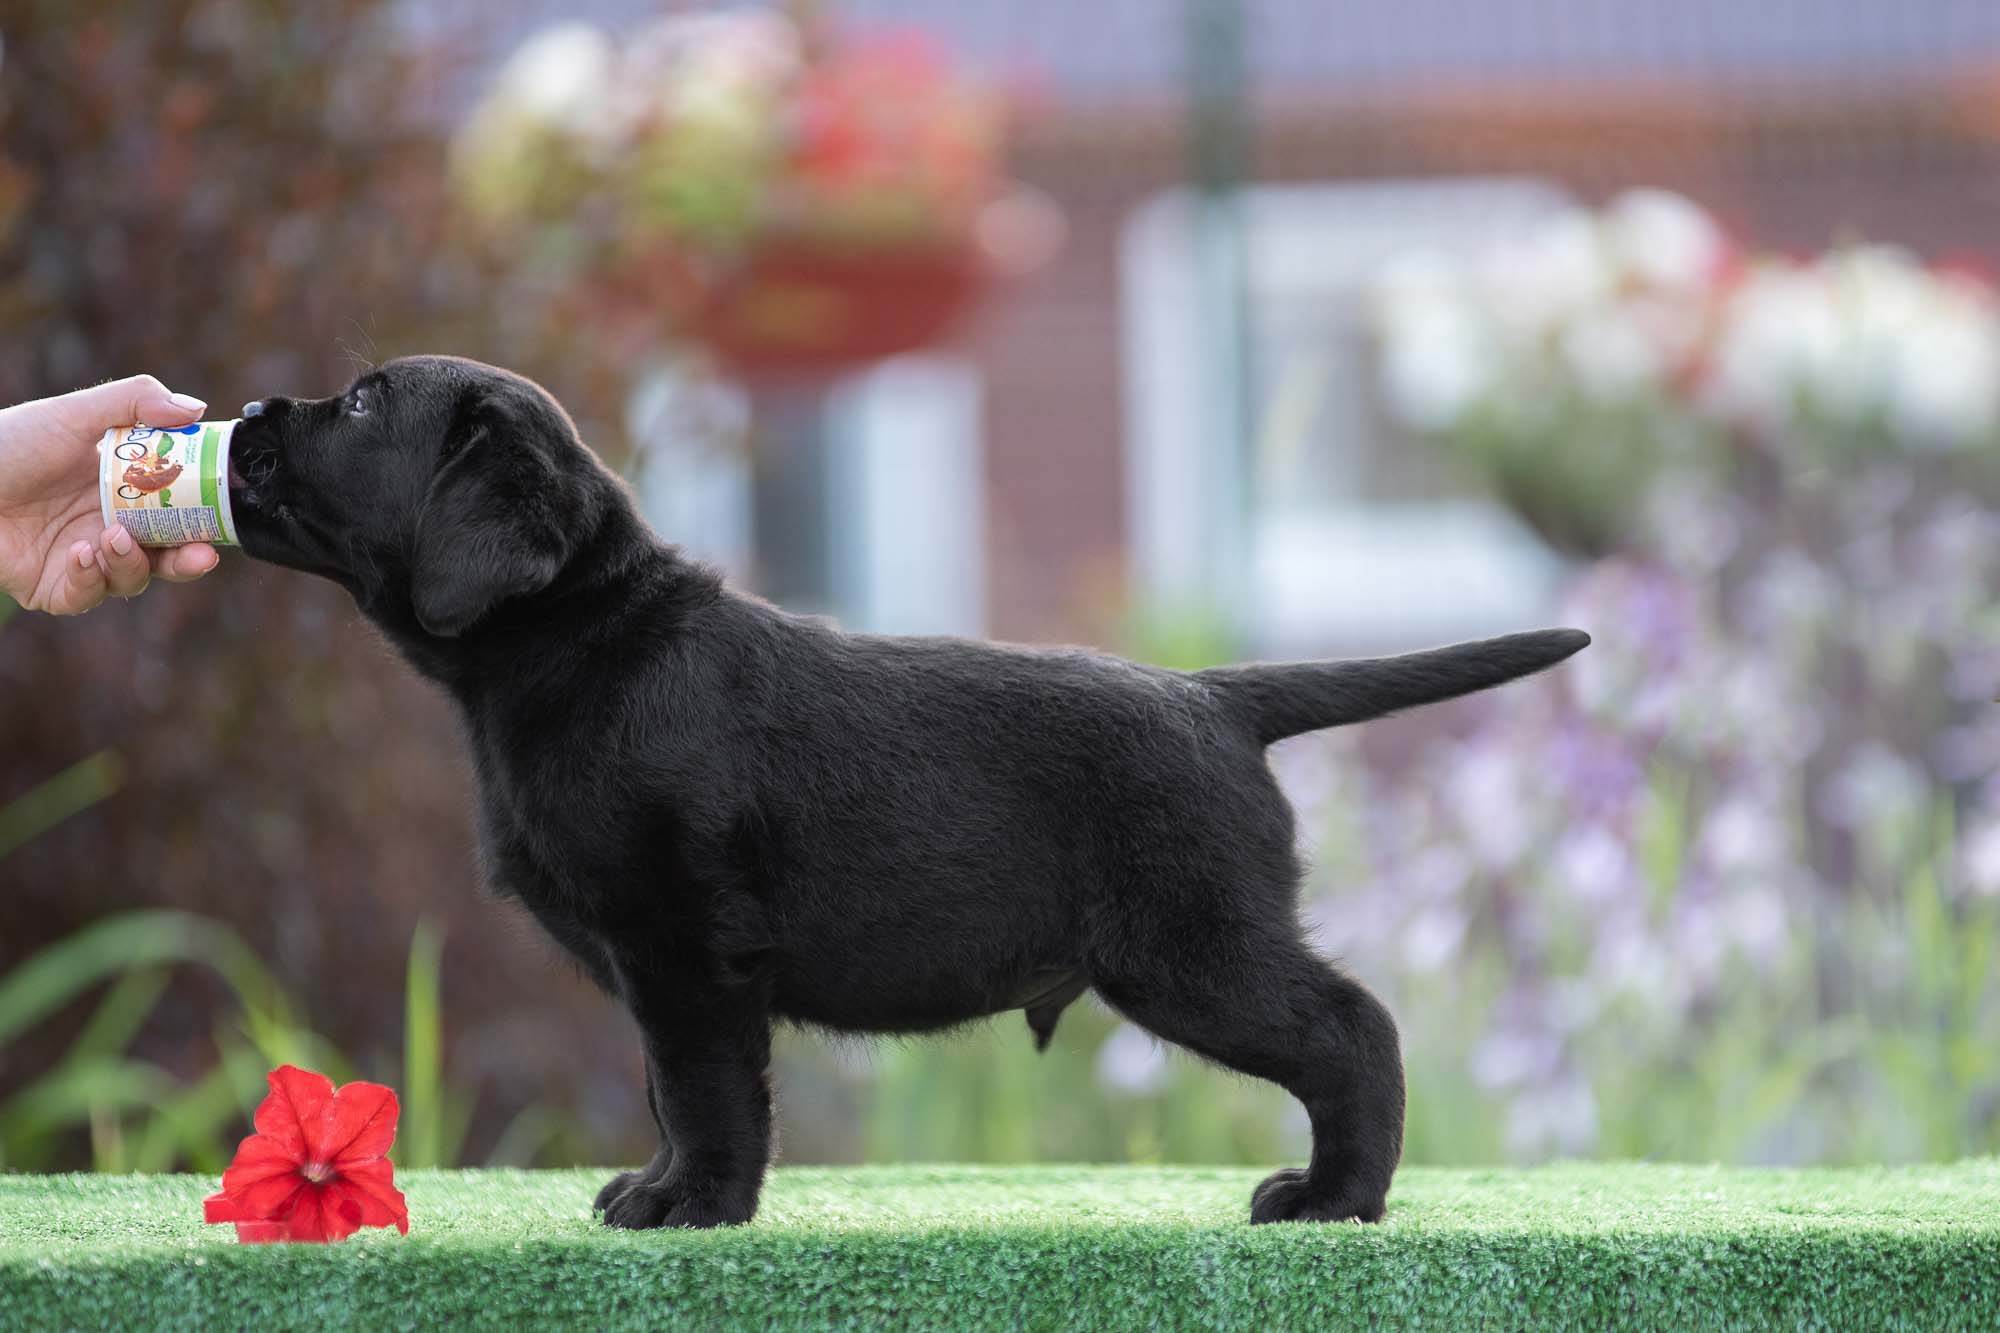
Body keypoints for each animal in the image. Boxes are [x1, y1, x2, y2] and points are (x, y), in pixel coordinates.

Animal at [229, 354, 1587, 1229]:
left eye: (362, 402)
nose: (244, 410)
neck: (581, 642)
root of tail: (1217, 697)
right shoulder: (655, 963)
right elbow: (673, 1089)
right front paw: (660, 1188)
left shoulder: (685, 946)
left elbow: (705, 1091)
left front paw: (694, 1207)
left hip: (1188, 948)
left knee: (1354, 1029)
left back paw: (1335, 1198)